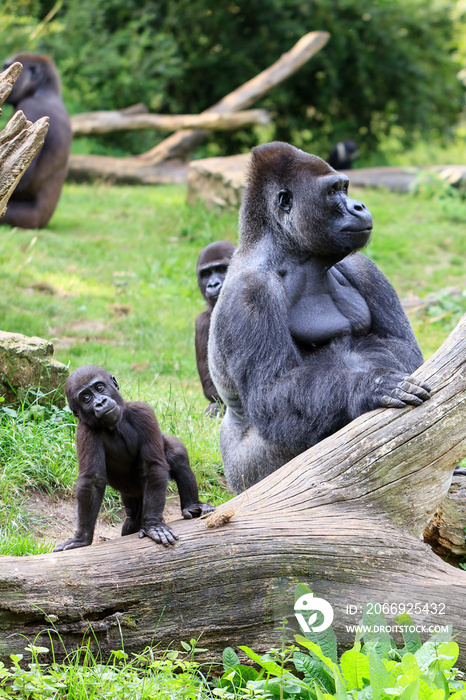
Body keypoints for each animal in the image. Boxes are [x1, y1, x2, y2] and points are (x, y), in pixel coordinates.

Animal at [54, 366, 213, 552]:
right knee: (130, 522)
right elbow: (93, 481)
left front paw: (152, 525)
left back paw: (191, 504)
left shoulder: (142, 412)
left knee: (176, 454)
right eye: (86, 398)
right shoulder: (85, 431)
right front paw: (82, 538)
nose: (100, 402)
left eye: (99, 388)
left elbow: (152, 465)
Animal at [209, 141, 432, 492]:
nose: (358, 206)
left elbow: (402, 348)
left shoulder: (364, 267)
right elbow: (273, 394)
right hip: (245, 480)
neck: (293, 255)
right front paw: (369, 387)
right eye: (332, 192)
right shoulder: (251, 293)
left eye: (345, 187)